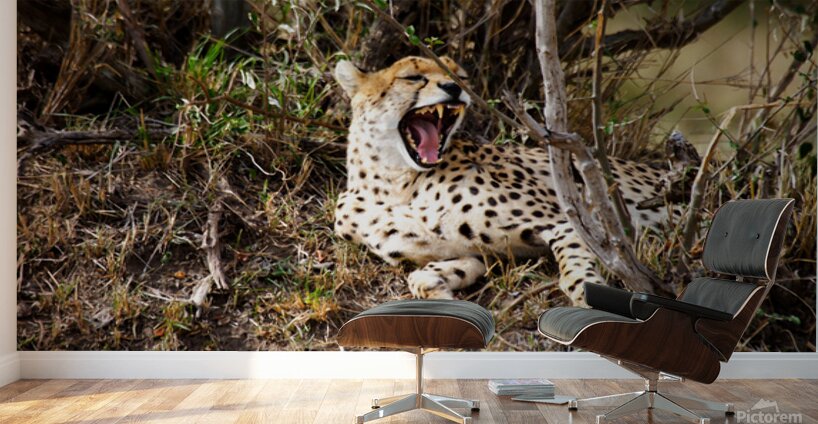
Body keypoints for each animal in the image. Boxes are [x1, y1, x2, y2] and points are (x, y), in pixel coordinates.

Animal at [333, 56, 677, 304]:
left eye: (459, 76)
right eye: (412, 77)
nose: (454, 88)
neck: (395, 183)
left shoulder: (570, 221)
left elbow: (576, 272)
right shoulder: (477, 252)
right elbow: (424, 275)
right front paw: (439, 290)